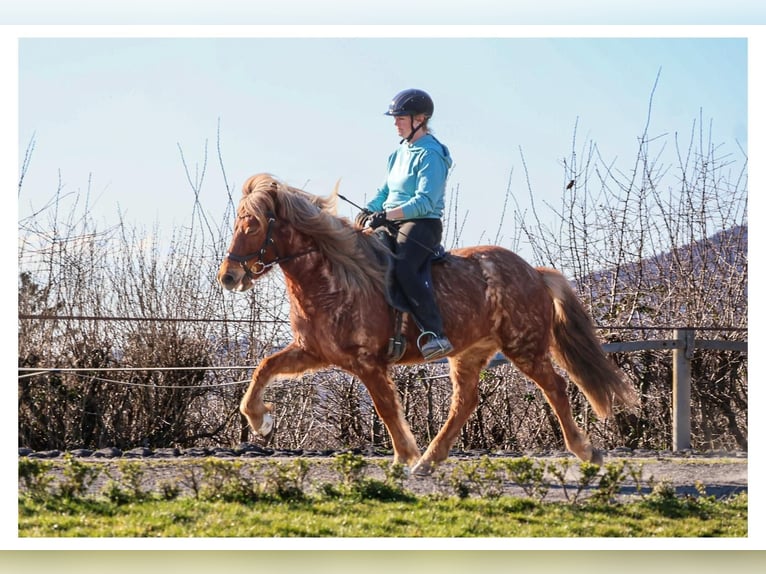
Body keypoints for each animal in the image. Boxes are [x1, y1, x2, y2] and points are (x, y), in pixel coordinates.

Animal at [217, 173, 638, 475]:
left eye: (253, 225)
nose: (229, 277)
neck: (336, 275)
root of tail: (533, 272)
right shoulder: (312, 352)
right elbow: (264, 367)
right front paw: (260, 421)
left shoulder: (367, 363)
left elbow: (386, 408)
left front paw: (403, 455)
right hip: (469, 354)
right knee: (465, 403)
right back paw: (429, 461)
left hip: (525, 347)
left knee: (556, 388)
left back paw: (586, 451)